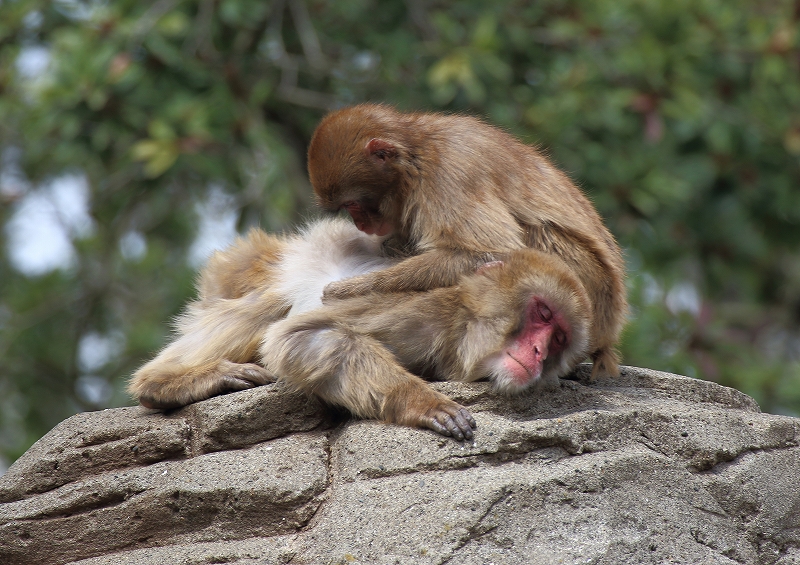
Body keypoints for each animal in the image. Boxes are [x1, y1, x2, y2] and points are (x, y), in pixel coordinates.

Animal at [310, 104, 628, 378]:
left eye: (352, 204)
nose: (361, 224)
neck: (416, 153)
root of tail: (610, 331)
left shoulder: (447, 173)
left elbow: (489, 253)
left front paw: (349, 290)